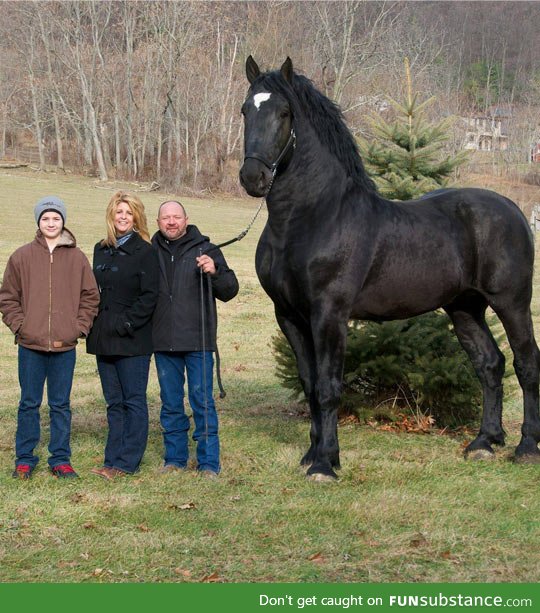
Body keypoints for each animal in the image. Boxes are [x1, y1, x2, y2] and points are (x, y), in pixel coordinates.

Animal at [239, 56, 540, 478]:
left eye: (284, 113)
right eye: (245, 111)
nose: (253, 177)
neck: (312, 217)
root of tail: (513, 209)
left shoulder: (329, 315)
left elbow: (329, 387)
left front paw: (326, 464)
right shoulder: (289, 316)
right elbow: (310, 385)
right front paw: (313, 454)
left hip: (511, 303)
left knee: (526, 363)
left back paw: (526, 446)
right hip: (465, 307)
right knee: (490, 364)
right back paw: (484, 443)